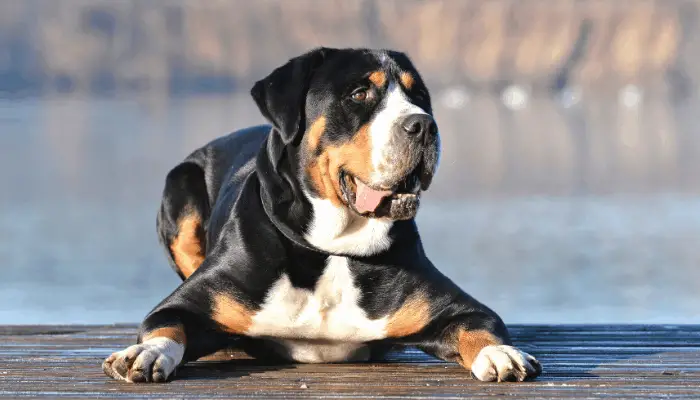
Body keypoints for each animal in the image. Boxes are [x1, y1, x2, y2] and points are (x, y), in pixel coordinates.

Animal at [102, 47, 540, 384]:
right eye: (360, 93)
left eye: (420, 96)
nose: (423, 125)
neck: (333, 248)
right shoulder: (187, 303)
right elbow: (165, 325)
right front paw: (145, 353)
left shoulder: (456, 308)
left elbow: (480, 327)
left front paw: (501, 353)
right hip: (181, 183)